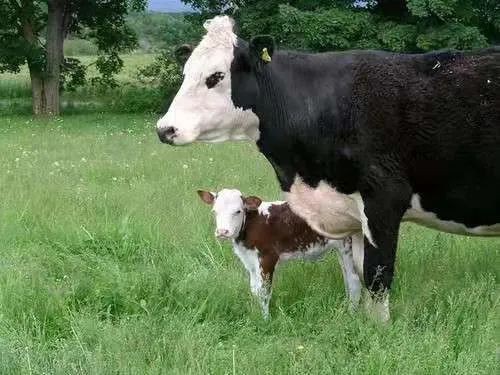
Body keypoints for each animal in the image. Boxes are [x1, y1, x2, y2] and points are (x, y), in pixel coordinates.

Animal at [196, 189, 360, 318]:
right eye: (214, 211)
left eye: (238, 211)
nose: (222, 232)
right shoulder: (250, 260)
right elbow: (254, 289)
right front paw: (256, 314)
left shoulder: (268, 257)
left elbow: (264, 291)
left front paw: (265, 320)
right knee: (346, 277)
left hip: (348, 247)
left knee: (354, 280)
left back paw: (351, 313)